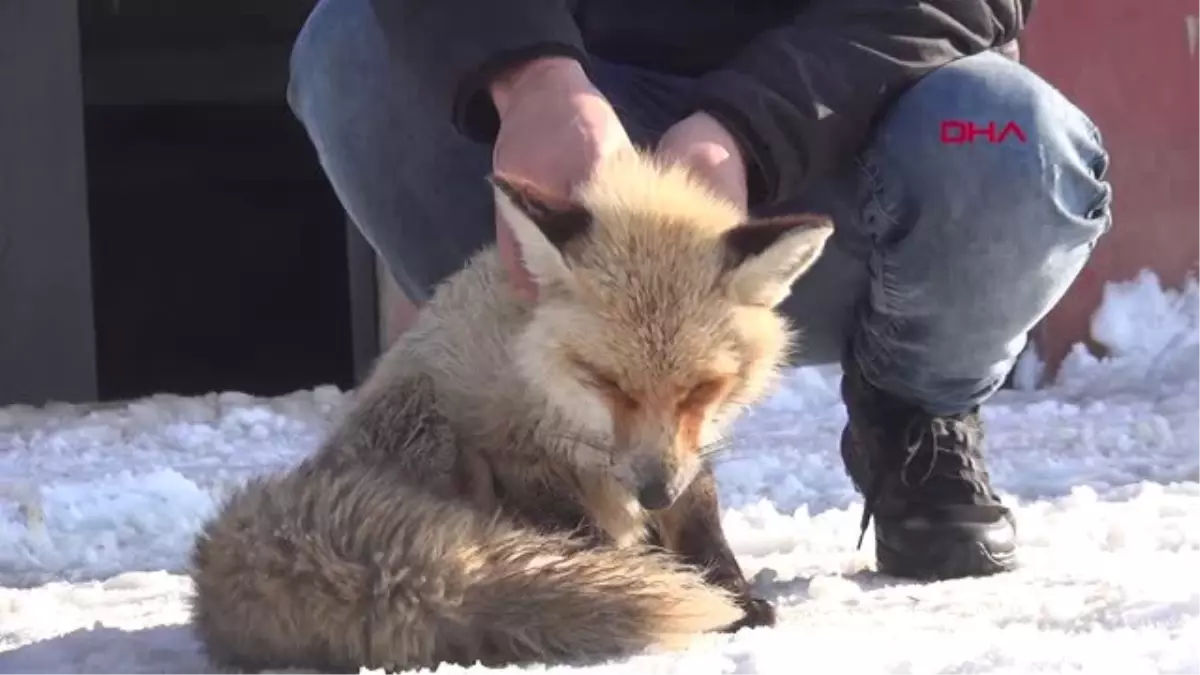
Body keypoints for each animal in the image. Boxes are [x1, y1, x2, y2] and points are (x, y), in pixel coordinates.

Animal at [192, 148, 840, 672]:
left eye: (701, 389)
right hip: (433, 433)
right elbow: (579, 532)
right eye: (606, 381)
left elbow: (701, 521)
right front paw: (651, 579)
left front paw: (729, 586)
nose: (653, 493)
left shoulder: (691, 449)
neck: (549, 393)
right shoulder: (518, 452)